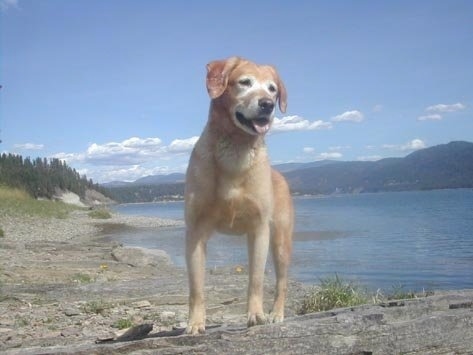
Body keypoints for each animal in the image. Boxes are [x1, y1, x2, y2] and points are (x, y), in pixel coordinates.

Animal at [183, 56, 292, 336]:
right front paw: (195, 323)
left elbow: (256, 279)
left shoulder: (259, 228)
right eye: (244, 82)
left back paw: (277, 314)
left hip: (281, 240)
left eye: (272, 89)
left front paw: (256, 315)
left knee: (282, 281)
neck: (235, 149)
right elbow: (196, 287)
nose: (267, 104)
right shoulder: (195, 230)